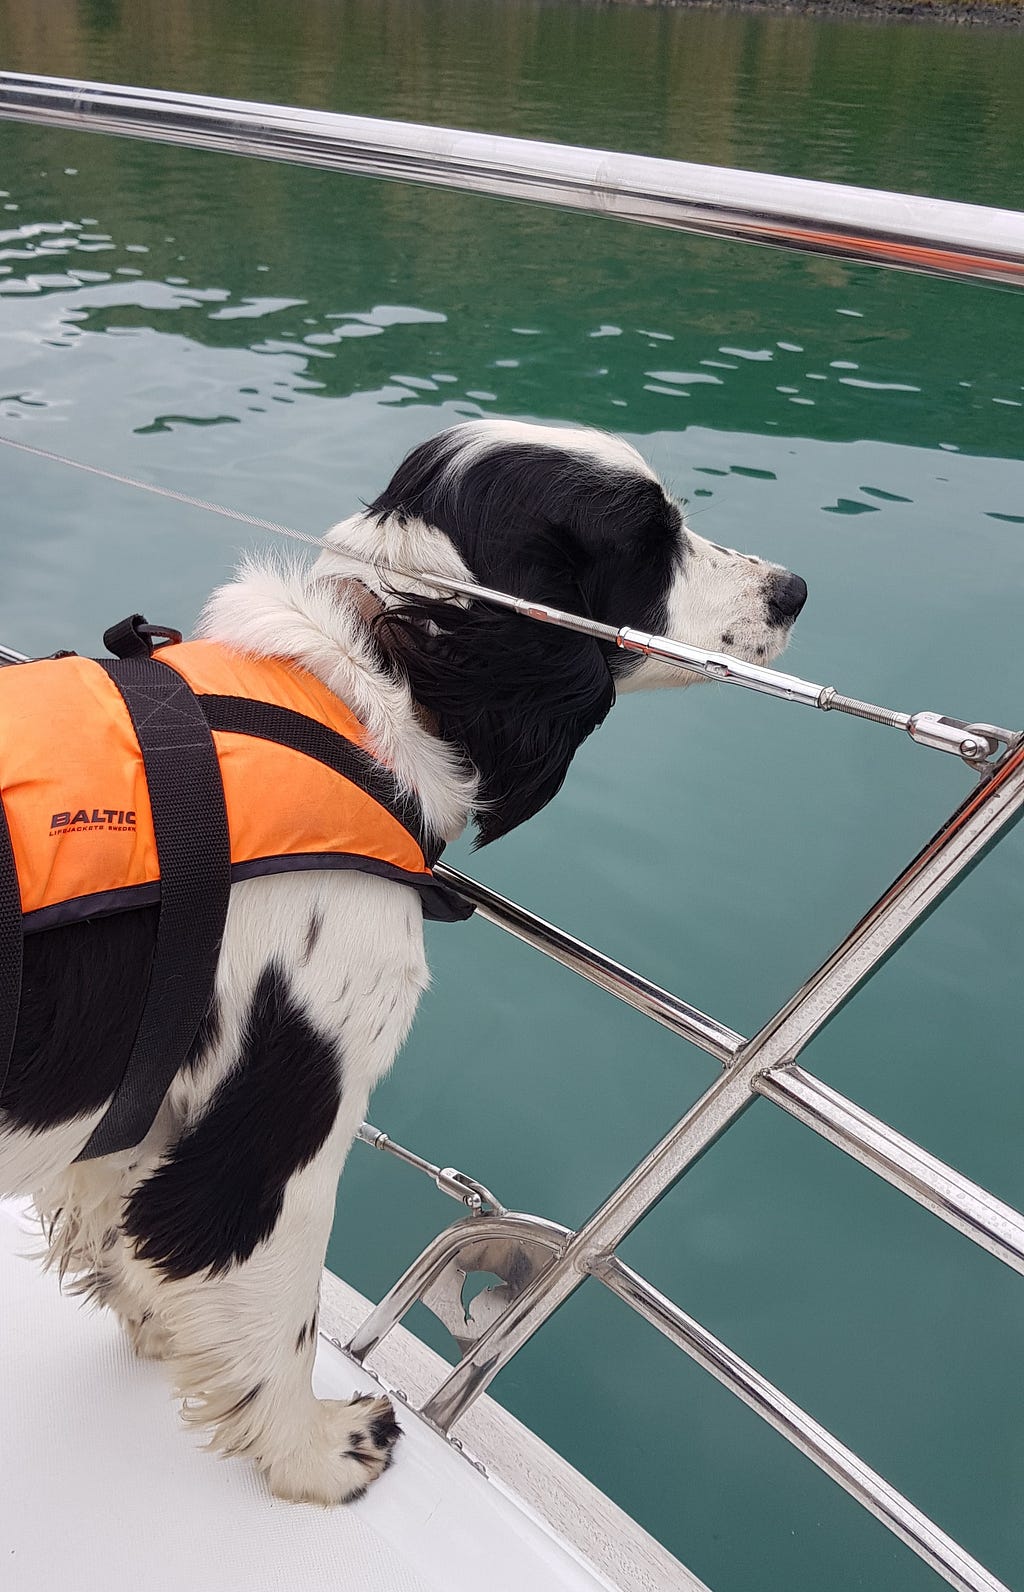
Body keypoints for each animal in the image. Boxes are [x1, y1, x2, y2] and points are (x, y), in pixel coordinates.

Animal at [0, 413, 805, 1502]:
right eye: (650, 540)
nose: (792, 589)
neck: (376, 682)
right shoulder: (285, 1111)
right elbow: (275, 1302)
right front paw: (315, 1449)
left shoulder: (143, 1108)